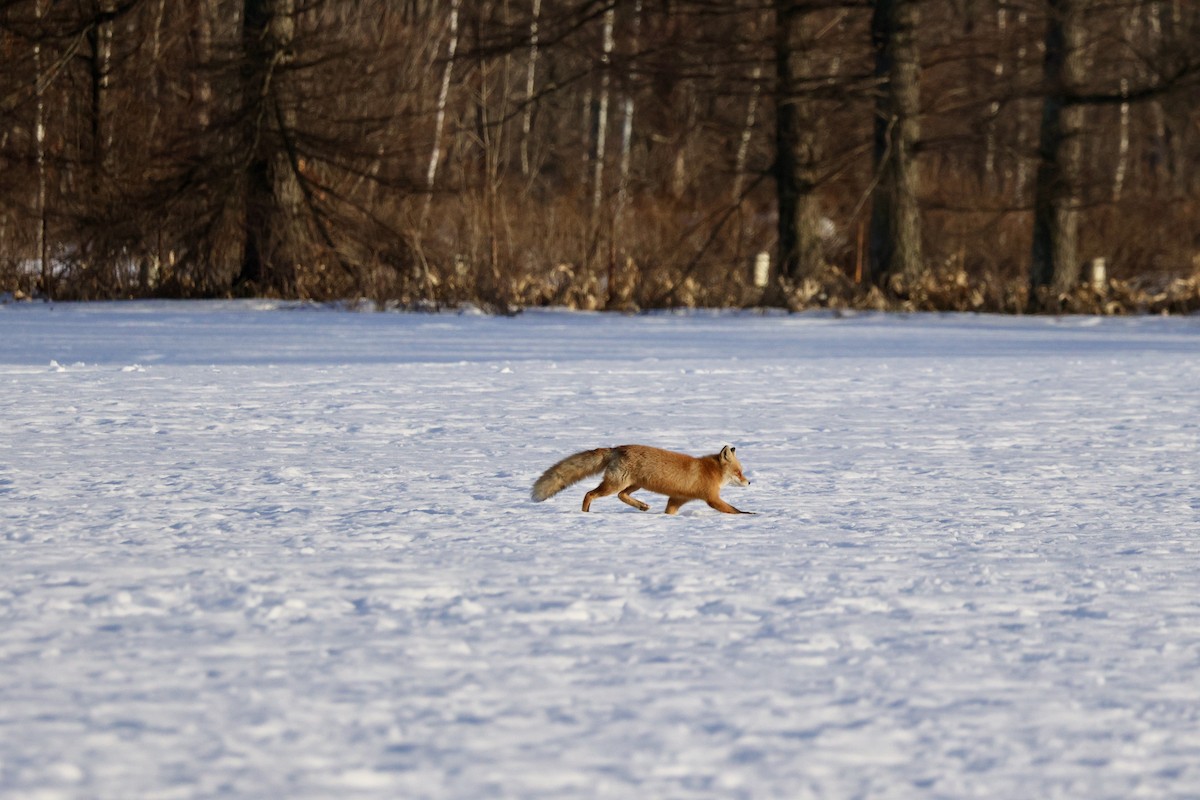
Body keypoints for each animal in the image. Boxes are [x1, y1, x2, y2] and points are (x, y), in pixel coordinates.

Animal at [531, 444, 752, 514]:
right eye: (739, 472)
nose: (749, 482)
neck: (710, 471)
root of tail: (617, 448)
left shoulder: (676, 499)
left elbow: (669, 512)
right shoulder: (712, 499)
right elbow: (734, 510)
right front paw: (751, 515)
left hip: (633, 485)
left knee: (621, 496)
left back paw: (641, 506)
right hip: (614, 484)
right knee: (589, 494)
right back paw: (585, 514)